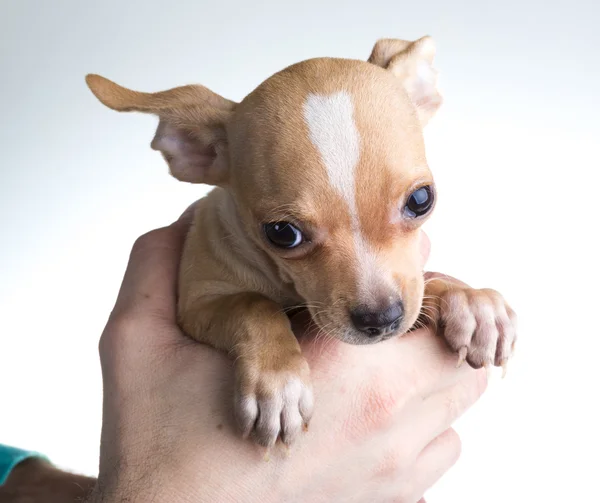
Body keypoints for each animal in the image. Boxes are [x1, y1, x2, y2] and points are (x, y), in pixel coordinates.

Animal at [86, 35, 516, 448]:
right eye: (282, 233)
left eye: (421, 200)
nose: (381, 319)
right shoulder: (198, 304)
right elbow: (253, 304)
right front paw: (279, 383)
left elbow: (425, 286)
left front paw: (472, 302)